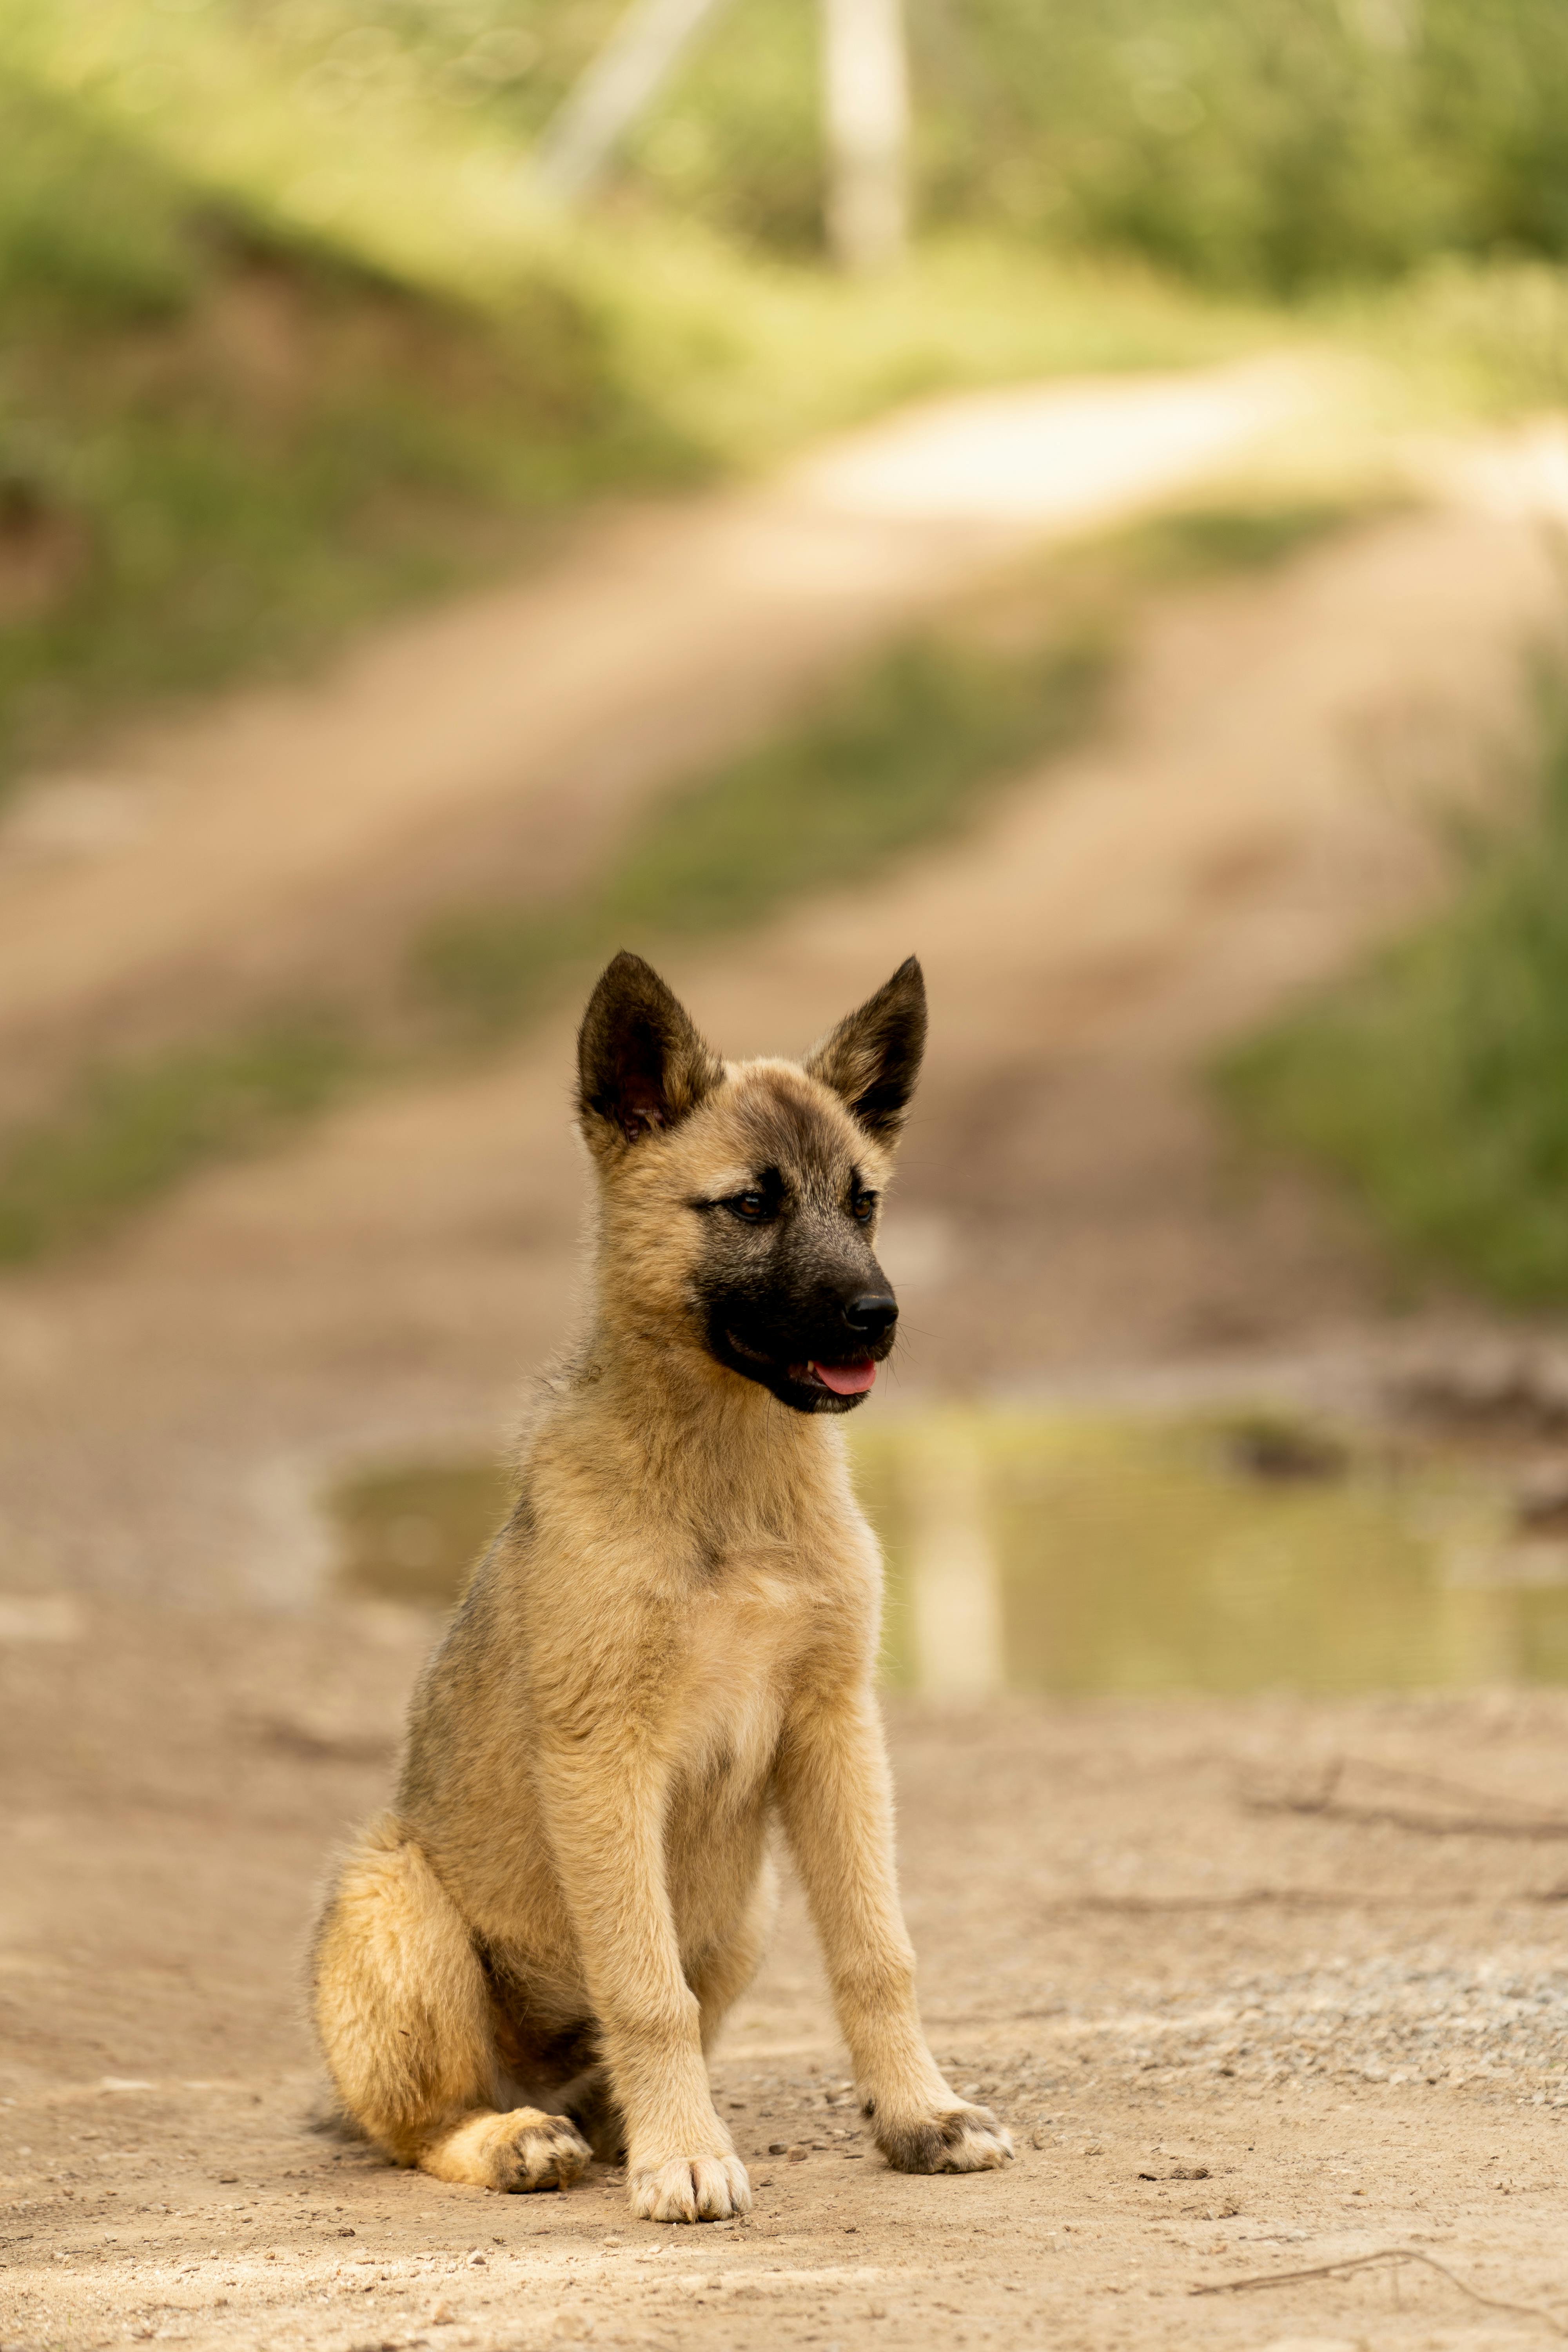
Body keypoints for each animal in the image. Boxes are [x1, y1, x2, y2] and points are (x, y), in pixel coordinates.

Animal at [310, 950, 1020, 2220]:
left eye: (863, 1202)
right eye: (748, 1204)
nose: (879, 1318)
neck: (724, 1482)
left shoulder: (833, 1732)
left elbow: (876, 1951)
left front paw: (919, 2114)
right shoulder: (607, 1758)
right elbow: (647, 1990)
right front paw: (686, 2153)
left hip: (742, 1913)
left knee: (600, 2088)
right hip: (395, 1900)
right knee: (426, 2121)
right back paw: (518, 2138)